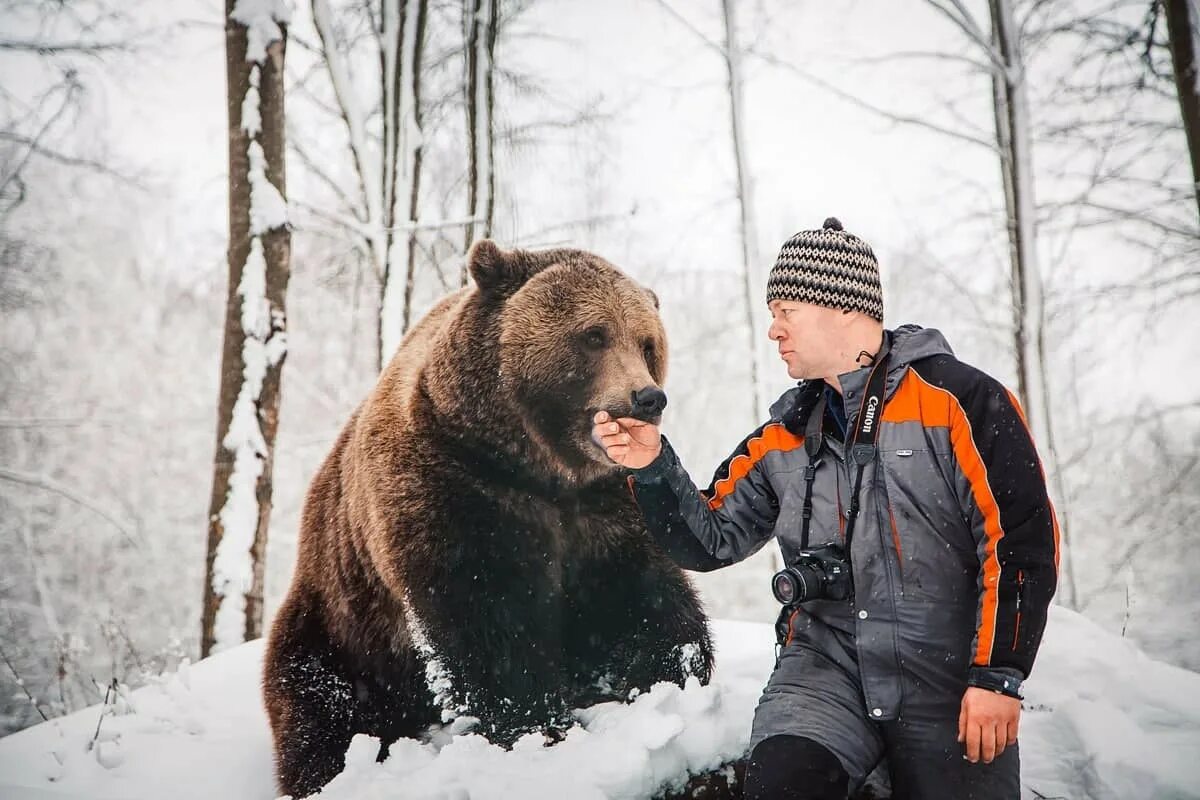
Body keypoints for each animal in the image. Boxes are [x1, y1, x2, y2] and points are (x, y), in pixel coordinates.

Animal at [264, 241, 710, 796]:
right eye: (594, 334)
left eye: (647, 343)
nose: (647, 397)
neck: (538, 468)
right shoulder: (456, 492)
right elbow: (487, 618)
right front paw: (536, 723)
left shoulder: (603, 511)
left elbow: (642, 598)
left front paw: (670, 673)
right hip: (339, 624)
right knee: (321, 704)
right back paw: (326, 768)